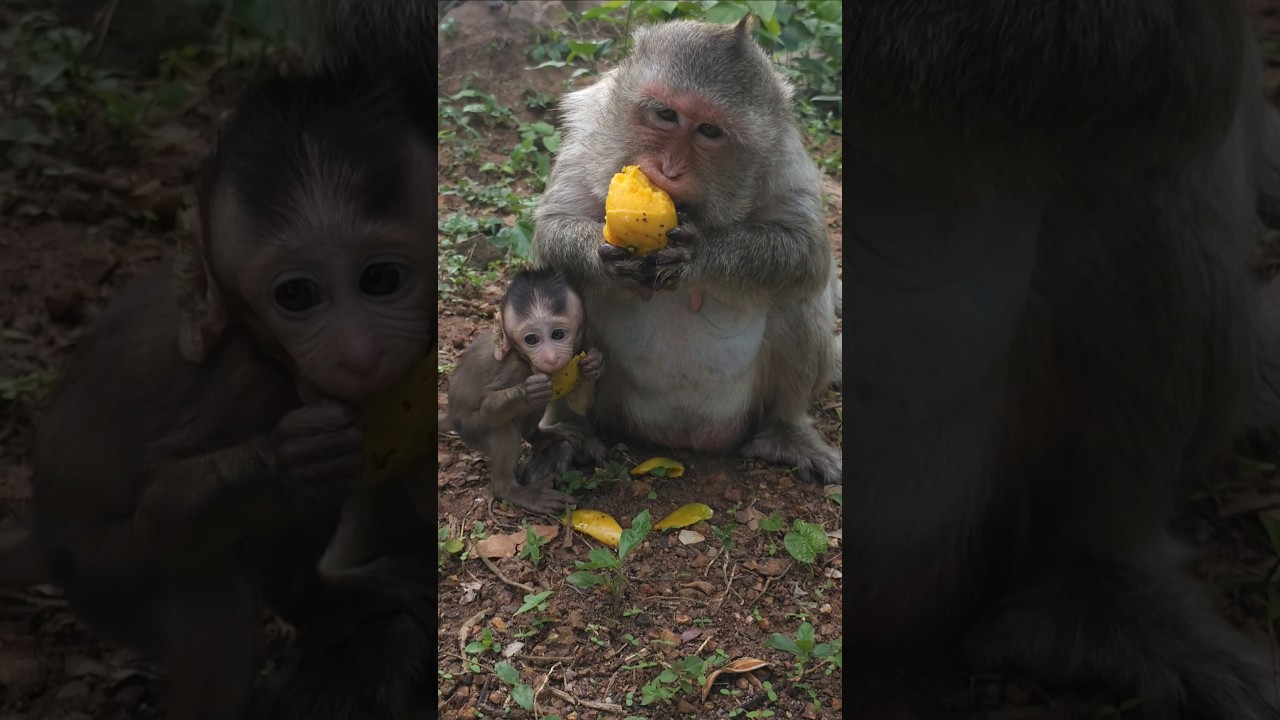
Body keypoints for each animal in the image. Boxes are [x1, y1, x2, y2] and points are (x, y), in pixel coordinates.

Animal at [0, 70, 432, 720]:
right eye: (296, 295)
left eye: (379, 279)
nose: (356, 354)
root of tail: (46, 537)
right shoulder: (245, 387)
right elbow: (161, 513)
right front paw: (282, 460)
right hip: (103, 577)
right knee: (207, 575)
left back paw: (315, 599)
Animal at [441, 266, 605, 514]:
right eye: (531, 339)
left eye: (558, 334)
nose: (550, 358)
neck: (524, 359)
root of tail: (452, 415)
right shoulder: (514, 369)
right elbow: (490, 409)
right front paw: (526, 392)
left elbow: (578, 401)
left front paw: (592, 366)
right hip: (470, 428)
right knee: (502, 424)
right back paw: (511, 490)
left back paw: (541, 434)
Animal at [530, 16, 841, 485]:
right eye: (666, 114)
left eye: (709, 131)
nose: (669, 169)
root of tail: (681, 438)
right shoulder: (587, 134)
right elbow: (551, 230)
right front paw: (604, 257)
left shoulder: (786, 157)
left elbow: (806, 253)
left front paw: (701, 257)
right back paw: (571, 429)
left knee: (796, 298)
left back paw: (785, 432)